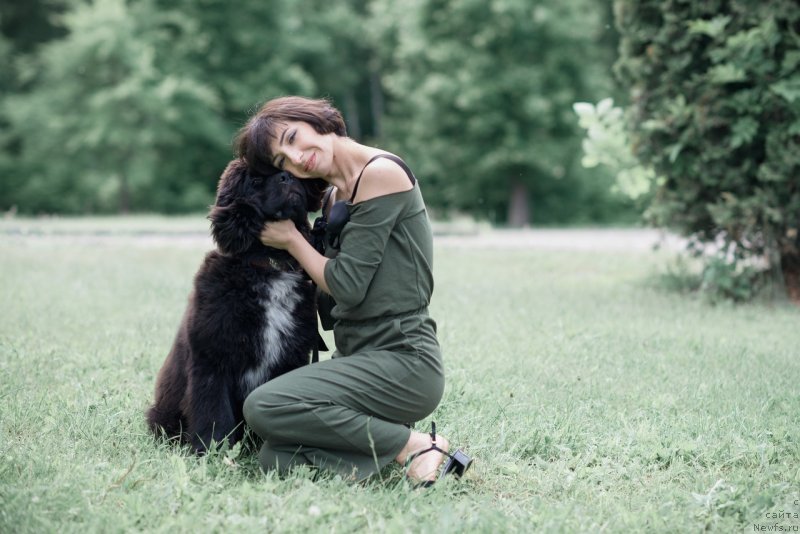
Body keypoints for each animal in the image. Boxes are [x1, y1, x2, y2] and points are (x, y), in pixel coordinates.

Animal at [147, 160, 324, 456]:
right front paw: (213, 452)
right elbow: (215, 413)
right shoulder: (212, 361)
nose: (287, 177)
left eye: (289, 169)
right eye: (255, 180)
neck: (268, 264)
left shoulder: (291, 357)